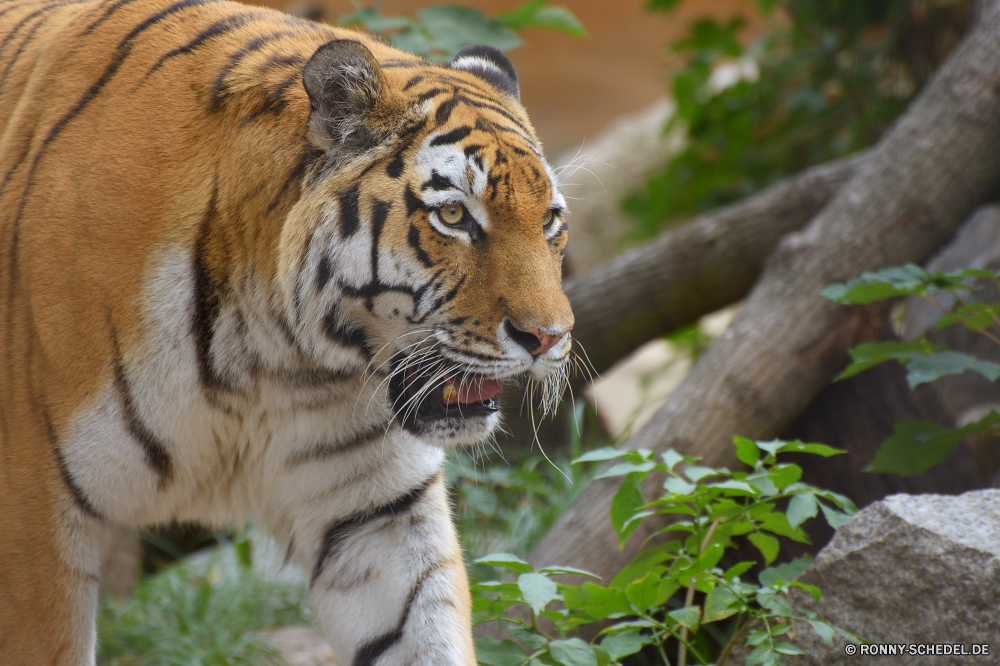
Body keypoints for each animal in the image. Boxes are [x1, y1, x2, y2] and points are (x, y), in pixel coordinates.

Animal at [0, 0, 576, 660]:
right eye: (453, 215)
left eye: (550, 220)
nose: (549, 337)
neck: (274, 357)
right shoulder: (33, 519)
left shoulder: (377, 510)